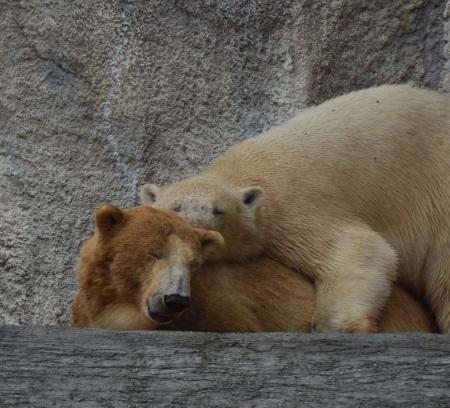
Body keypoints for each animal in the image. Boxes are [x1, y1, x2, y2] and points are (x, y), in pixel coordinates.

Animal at [141, 84, 450, 334]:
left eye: (219, 211)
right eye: (176, 208)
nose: (197, 229)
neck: (245, 169)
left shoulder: (294, 207)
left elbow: (360, 250)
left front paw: (341, 326)